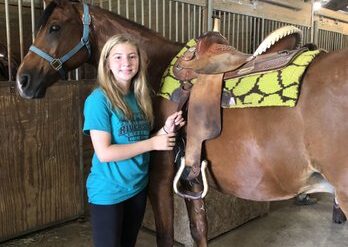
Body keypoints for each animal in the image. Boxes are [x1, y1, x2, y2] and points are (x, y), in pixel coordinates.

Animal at [16, 0, 348, 246]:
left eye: (54, 27)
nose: (23, 81)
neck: (158, 65)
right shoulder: (191, 178)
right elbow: (198, 229)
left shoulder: (160, 180)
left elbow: (165, 235)